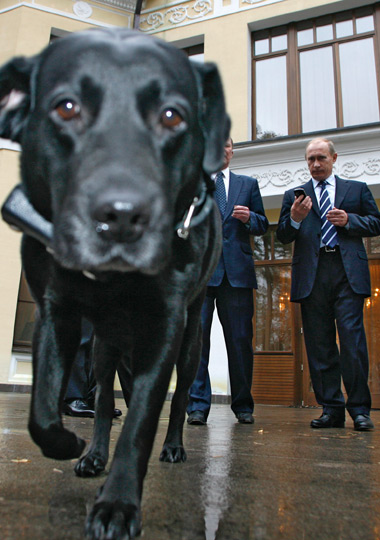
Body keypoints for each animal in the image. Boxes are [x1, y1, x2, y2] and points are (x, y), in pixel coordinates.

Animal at [0, 27, 229, 536]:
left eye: (172, 115)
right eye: (66, 108)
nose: (122, 217)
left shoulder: (164, 328)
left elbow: (142, 423)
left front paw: (119, 504)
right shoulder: (55, 312)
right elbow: (43, 410)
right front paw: (67, 443)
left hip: (190, 344)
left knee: (178, 401)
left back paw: (173, 445)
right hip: (104, 351)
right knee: (104, 401)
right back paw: (93, 453)